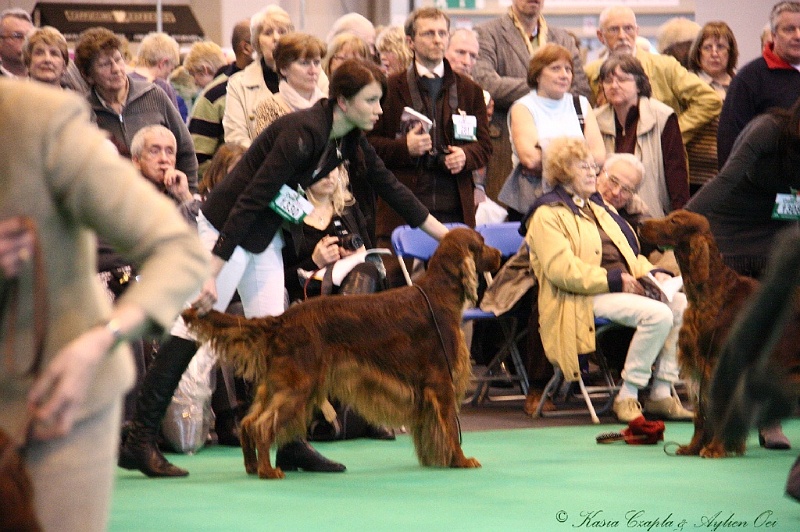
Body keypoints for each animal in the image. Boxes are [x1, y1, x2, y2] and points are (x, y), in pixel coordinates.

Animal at [184, 229, 500, 478]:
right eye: (482, 242)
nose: (499, 254)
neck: (439, 294)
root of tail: (282, 319)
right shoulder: (441, 381)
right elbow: (450, 428)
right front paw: (461, 460)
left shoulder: (427, 389)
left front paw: (438, 460)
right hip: (298, 385)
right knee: (262, 425)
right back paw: (267, 471)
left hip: (277, 384)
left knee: (249, 423)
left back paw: (252, 467)